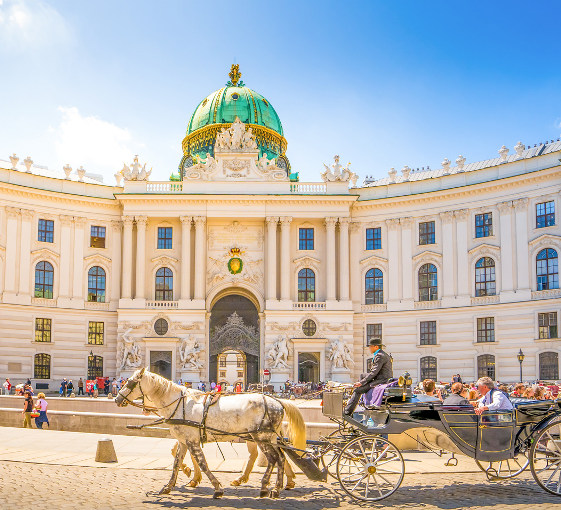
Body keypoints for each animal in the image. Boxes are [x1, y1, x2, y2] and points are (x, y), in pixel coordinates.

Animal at [115, 368, 306, 500]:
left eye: (129, 383)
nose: (117, 399)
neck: (179, 404)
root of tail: (277, 401)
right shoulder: (184, 441)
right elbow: (176, 463)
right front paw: (169, 486)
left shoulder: (192, 441)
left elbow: (203, 464)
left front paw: (217, 488)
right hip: (268, 438)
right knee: (280, 458)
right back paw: (276, 487)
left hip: (261, 437)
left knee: (274, 458)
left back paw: (267, 487)